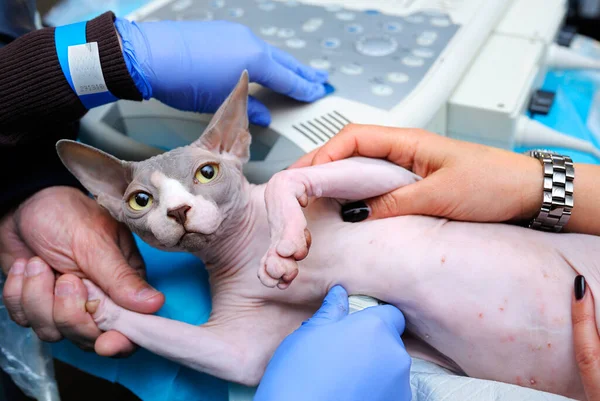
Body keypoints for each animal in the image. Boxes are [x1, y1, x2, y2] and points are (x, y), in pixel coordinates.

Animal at [56, 71, 600, 396]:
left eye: (207, 173)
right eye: (140, 201)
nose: (180, 210)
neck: (239, 246)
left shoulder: (403, 176)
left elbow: (285, 179)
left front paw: (284, 246)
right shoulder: (240, 351)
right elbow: (218, 352)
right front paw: (90, 302)